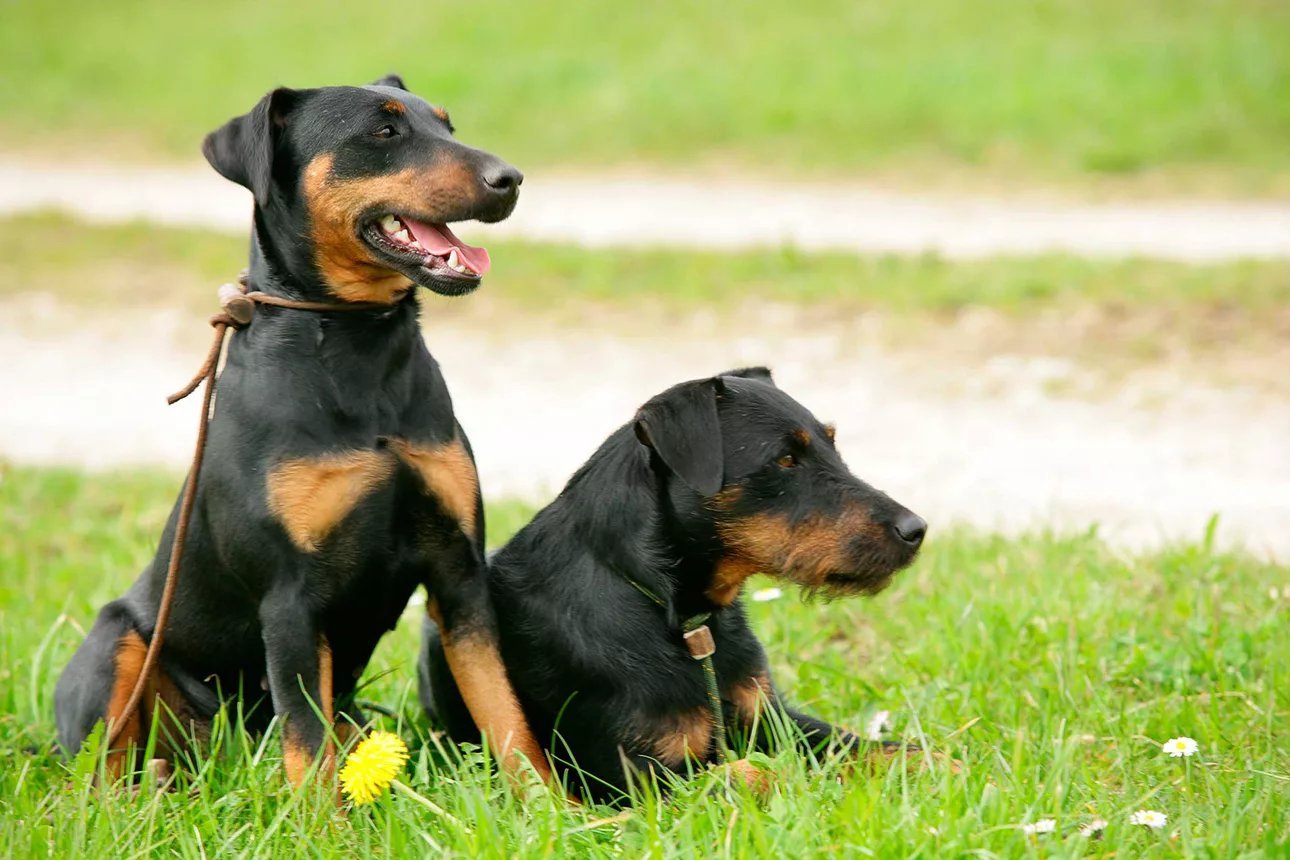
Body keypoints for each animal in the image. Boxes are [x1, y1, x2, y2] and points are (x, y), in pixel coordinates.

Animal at [54, 77, 549, 789]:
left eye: (448, 127)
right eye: (384, 132)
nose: (509, 179)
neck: (355, 342)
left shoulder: (459, 576)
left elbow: (505, 713)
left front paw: (549, 804)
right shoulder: (289, 597)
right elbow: (307, 748)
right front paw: (323, 818)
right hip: (117, 643)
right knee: (104, 764)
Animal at [423, 366, 928, 804]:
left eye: (833, 445)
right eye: (786, 458)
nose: (917, 529)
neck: (685, 618)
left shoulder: (775, 719)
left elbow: (869, 746)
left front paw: (938, 761)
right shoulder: (638, 779)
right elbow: (763, 770)